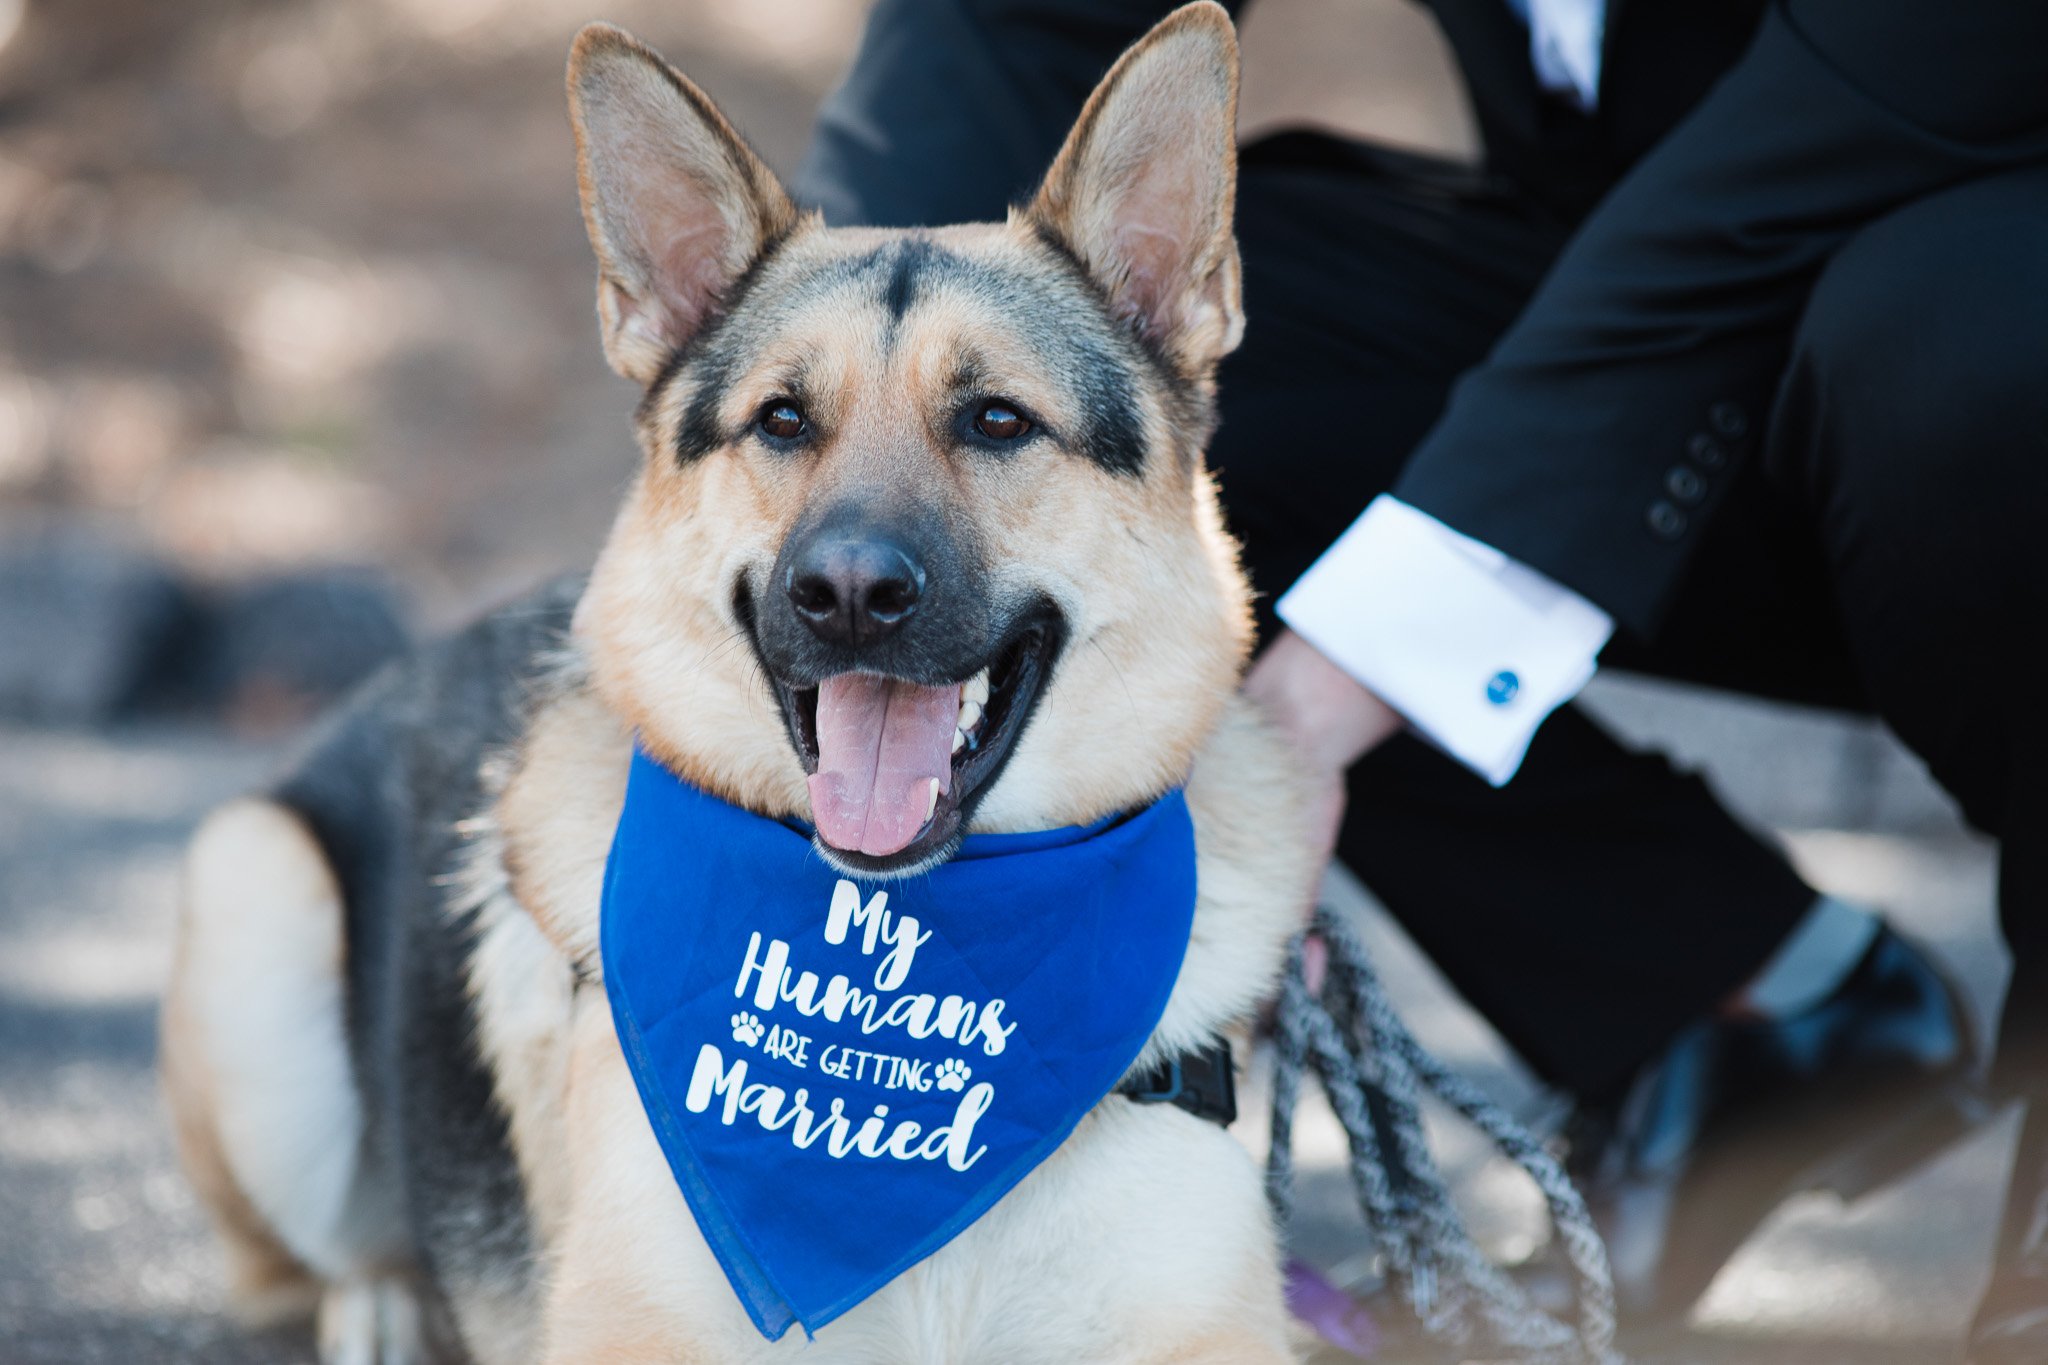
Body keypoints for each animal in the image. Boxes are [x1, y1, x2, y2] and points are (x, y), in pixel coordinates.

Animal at [155, 5, 1310, 1358]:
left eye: (997, 421)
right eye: (781, 421)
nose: (847, 594)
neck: (907, 946)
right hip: (257, 896)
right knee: (310, 1261)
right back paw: (385, 1304)